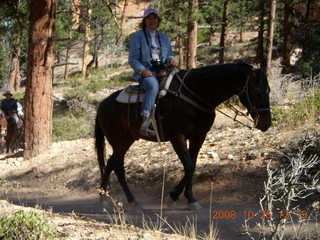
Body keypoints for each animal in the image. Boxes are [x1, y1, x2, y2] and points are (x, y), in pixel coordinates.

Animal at [95, 62, 272, 211]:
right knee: (118, 168)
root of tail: (103, 104)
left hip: (126, 140)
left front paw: (191, 199)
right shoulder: (177, 136)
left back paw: (103, 198)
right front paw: (172, 197)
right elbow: (189, 167)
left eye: (268, 90)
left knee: (110, 164)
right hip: (119, 141)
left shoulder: (198, 136)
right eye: (257, 92)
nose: (266, 124)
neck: (195, 94)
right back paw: (132, 201)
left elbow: (192, 165)